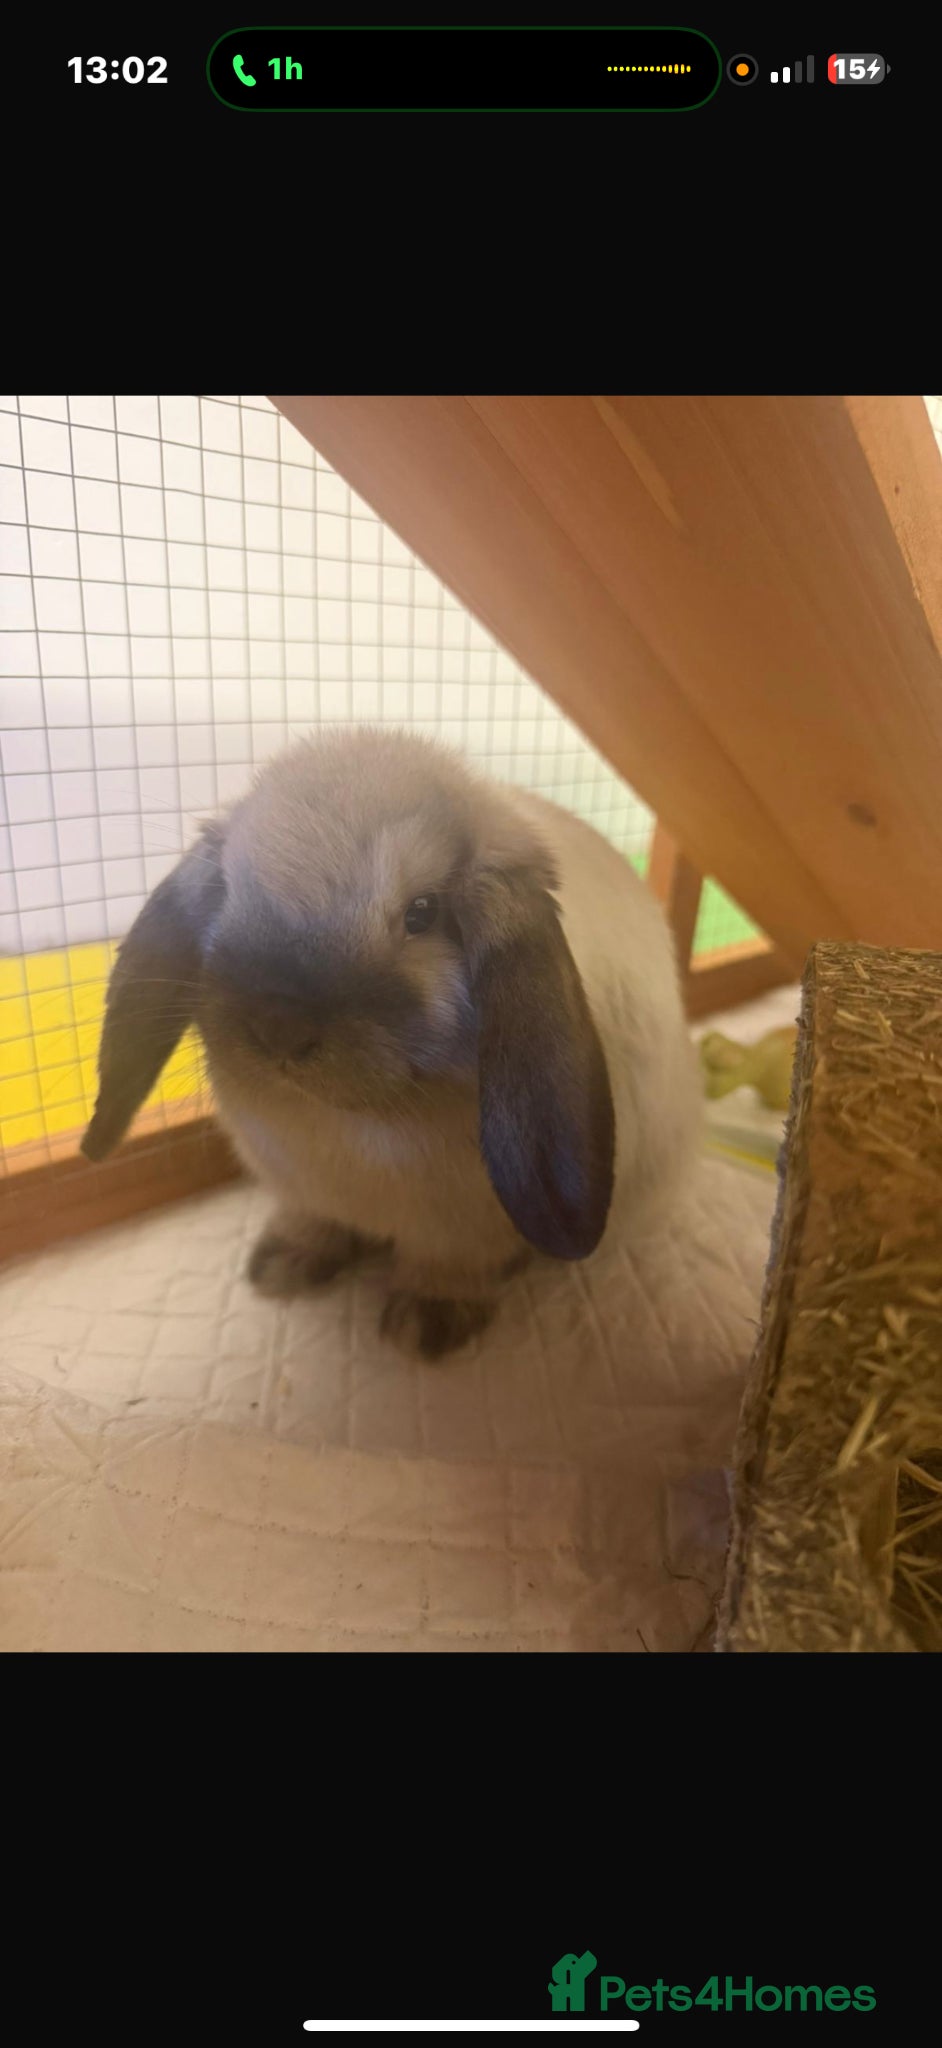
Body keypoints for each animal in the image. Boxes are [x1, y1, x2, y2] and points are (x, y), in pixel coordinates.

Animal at [81, 726, 702, 1359]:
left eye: (423, 912)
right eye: (227, 891)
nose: (278, 1025)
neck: (352, 1122)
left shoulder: (464, 1229)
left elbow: (447, 1265)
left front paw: (426, 1326)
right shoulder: (304, 1194)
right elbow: (313, 1223)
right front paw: (280, 1266)